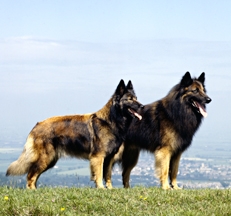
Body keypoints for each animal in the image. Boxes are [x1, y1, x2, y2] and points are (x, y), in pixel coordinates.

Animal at [5, 79, 143, 189]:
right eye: (130, 99)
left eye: (136, 99)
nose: (142, 106)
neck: (111, 120)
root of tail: (37, 125)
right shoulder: (98, 157)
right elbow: (98, 174)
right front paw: (101, 188)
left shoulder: (109, 157)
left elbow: (107, 175)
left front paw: (110, 189)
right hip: (45, 158)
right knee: (30, 176)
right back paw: (33, 192)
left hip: (50, 160)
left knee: (34, 176)